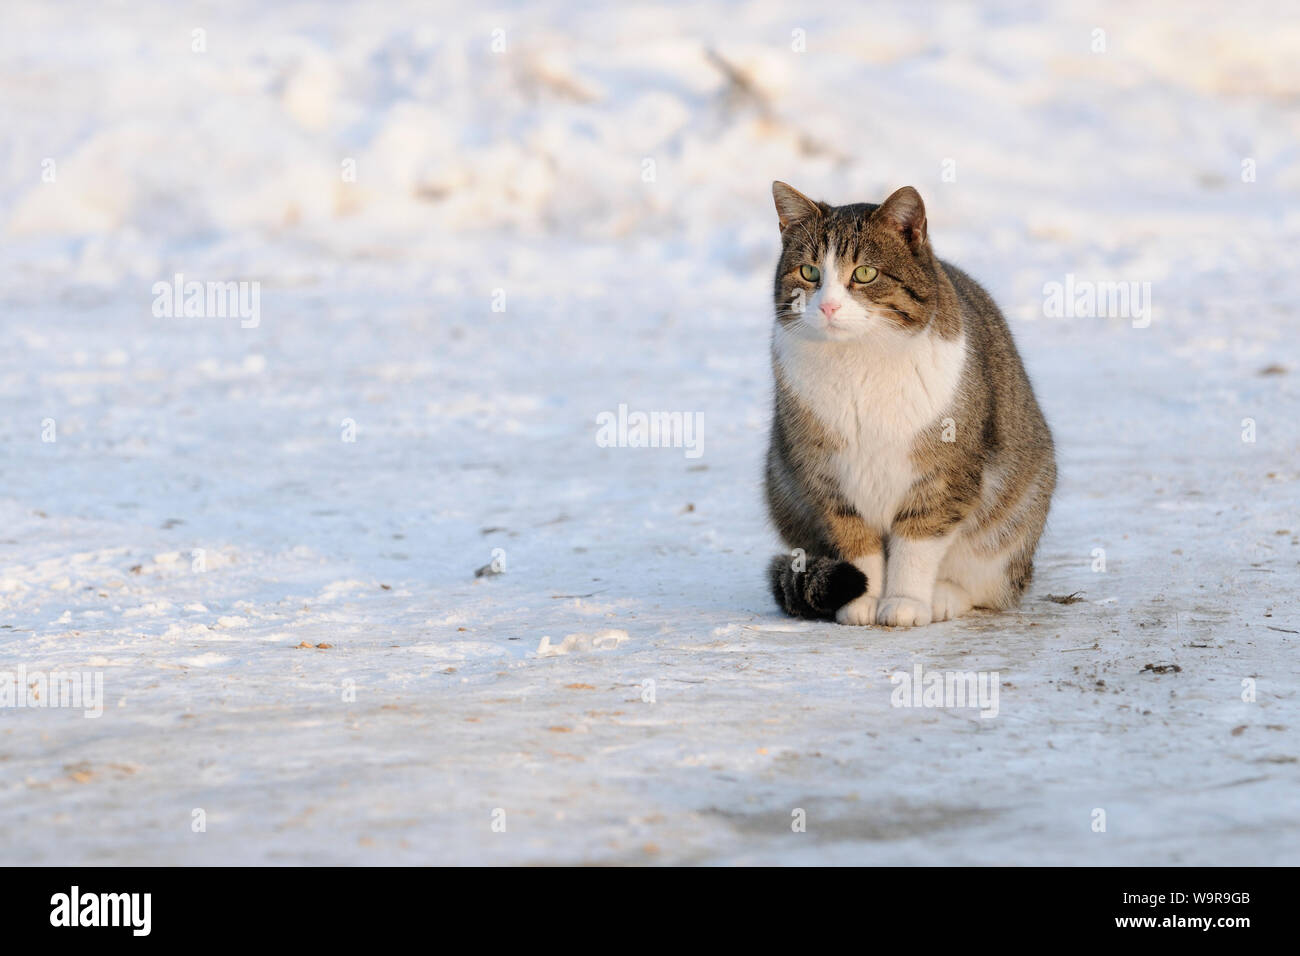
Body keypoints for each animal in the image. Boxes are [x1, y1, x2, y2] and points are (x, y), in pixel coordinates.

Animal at [759, 180, 1055, 629]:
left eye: (865, 273)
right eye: (809, 272)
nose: (828, 306)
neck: (860, 362)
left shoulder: (942, 474)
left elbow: (916, 543)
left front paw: (904, 602)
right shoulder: (826, 473)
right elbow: (856, 542)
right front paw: (864, 600)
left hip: (1017, 516)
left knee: (992, 582)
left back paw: (944, 596)